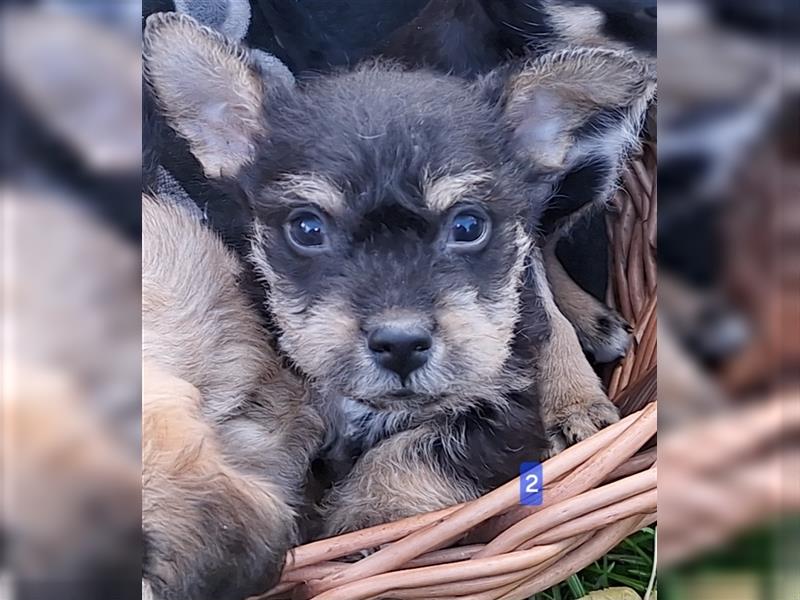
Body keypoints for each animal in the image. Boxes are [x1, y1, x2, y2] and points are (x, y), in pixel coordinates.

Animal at [144, 12, 656, 536]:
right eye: (307, 228)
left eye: (468, 225)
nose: (401, 343)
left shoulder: (500, 407)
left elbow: (412, 454)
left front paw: (367, 521)